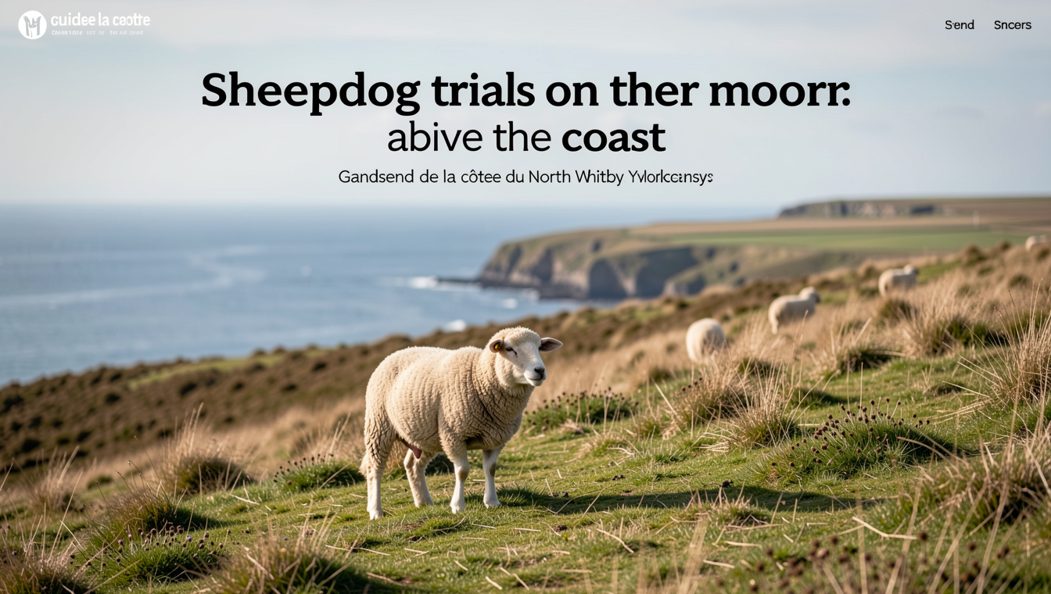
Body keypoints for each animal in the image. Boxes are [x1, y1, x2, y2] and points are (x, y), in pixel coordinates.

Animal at [360, 327, 562, 519]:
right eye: (510, 349)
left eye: (539, 347)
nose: (540, 370)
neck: (479, 377)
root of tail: (397, 352)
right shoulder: (454, 436)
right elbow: (462, 471)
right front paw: (457, 505)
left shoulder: (496, 438)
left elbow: (491, 469)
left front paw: (492, 501)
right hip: (379, 425)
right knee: (374, 468)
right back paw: (375, 511)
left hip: (427, 436)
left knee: (412, 465)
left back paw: (423, 501)